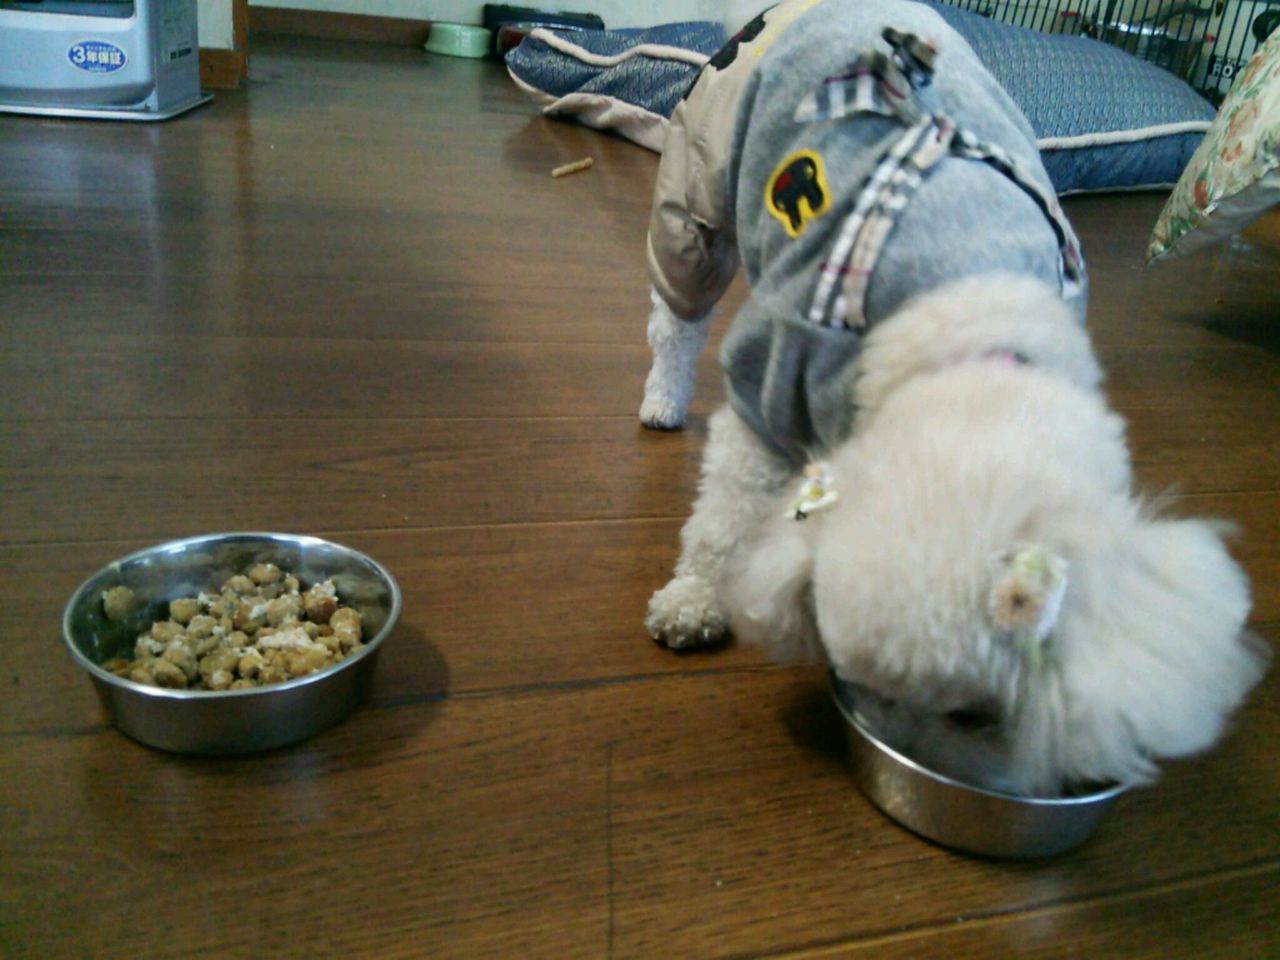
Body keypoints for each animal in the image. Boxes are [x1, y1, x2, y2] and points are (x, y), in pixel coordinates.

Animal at [639, 0, 1267, 797]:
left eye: (974, 716)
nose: (904, 755)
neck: (971, 342)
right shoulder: (767, 384)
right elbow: (722, 520)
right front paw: (695, 599)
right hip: (698, 187)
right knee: (678, 314)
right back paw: (663, 398)